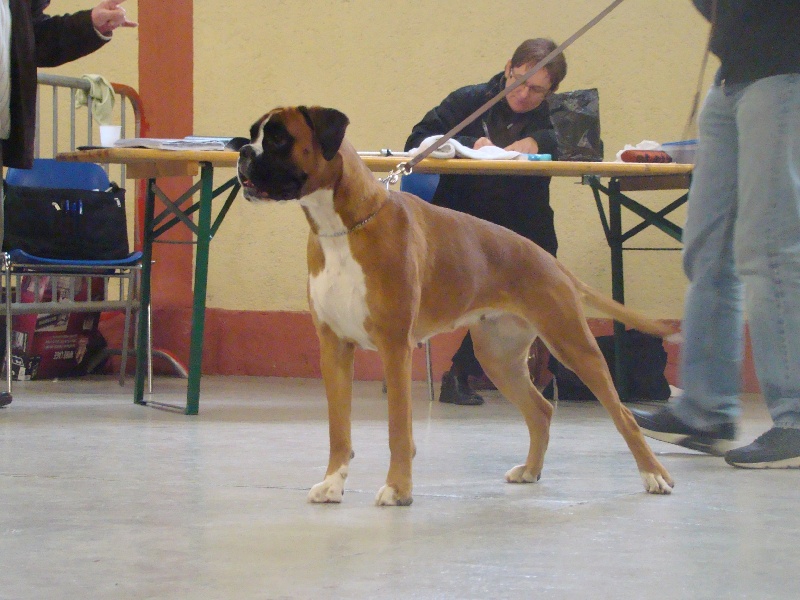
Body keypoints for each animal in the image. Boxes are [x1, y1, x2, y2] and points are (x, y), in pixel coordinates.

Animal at [236, 105, 675, 506]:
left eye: (278, 138)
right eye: (255, 133)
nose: (241, 150)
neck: (342, 227)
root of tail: (549, 260)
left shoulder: (394, 348)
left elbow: (399, 429)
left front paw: (398, 489)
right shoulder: (334, 349)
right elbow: (338, 429)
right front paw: (332, 483)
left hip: (573, 346)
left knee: (624, 417)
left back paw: (654, 475)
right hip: (498, 357)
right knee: (540, 411)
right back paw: (531, 470)